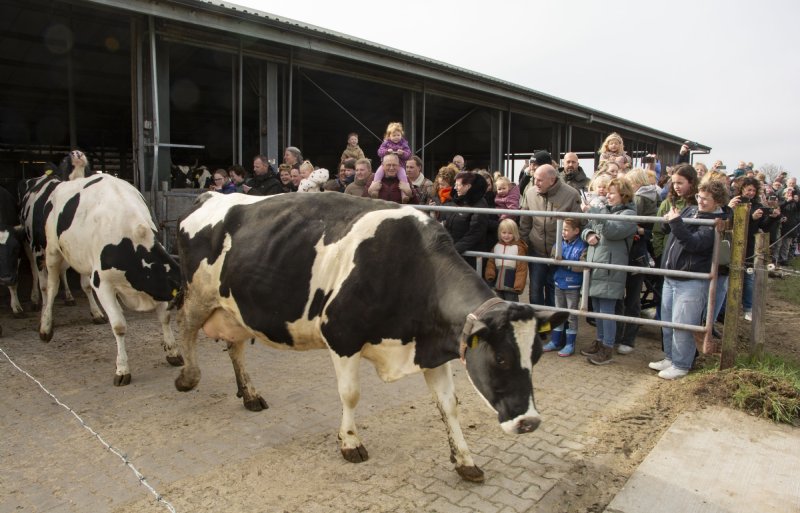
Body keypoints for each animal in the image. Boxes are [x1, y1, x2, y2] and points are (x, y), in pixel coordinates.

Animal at [38, 174, 184, 385]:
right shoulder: (103, 284)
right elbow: (119, 326)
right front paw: (122, 369)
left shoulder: (158, 287)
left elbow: (165, 317)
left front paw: (173, 352)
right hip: (52, 250)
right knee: (51, 287)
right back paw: (46, 327)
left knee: (84, 285)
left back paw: (95, 313)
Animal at [174, 192, 567, 482]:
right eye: (500, 357)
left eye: (536, 356)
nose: (530, 422)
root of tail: (212, 195)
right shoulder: (341, 335)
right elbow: (350, 395)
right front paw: (350, 443)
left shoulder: (431, 349)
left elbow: (449, 405)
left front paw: (465, 460)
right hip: (197, 295)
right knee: (185, 329)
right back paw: (188, 376)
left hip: (236, 308)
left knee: (236, 347)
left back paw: (250, 394)